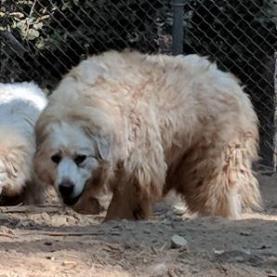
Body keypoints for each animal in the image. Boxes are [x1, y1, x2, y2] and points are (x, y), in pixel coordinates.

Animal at [33, 49, 260, 220]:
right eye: (55, 158)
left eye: (81, 158)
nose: (65, 187)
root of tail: (232, 82)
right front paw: (90, 206)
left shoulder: (139, 163)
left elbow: (126, 196)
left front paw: (116, 218)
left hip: (213, 155)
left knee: (216, 188)